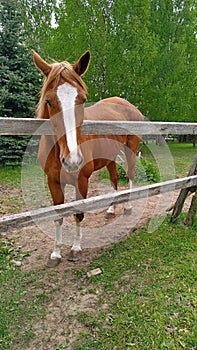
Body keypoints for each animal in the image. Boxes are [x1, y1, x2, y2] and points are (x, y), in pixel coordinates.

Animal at [31, 50, 143, 266]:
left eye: (82, 100)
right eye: (49, 101)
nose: (72, 160)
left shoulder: (81, 181)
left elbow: (78, 213)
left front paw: (75, 248)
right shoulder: (53, 181)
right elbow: (58, 215)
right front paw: (56, 253)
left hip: (131, 150)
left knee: (131, 176)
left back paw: (128, 206)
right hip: (110, 156)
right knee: (115, 178)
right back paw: (110, 209)